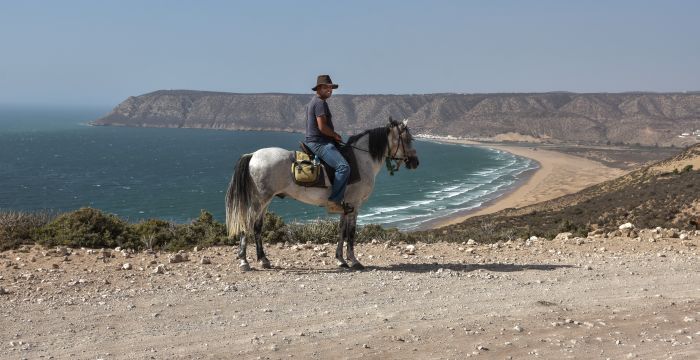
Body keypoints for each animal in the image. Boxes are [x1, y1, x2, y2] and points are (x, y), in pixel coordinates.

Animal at [227, 118, 418, 270]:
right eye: (407, 139)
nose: (415, 162)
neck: (362, 159)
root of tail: (253, 155)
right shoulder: (355, 205)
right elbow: (351, 233)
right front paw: (354, 260)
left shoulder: (345, 207)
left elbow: (341, 231)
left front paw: (341, 259)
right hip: (260, 200)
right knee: (247, 224)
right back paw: (244, 261)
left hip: (263, 201)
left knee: (257, 227)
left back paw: (263, 260)